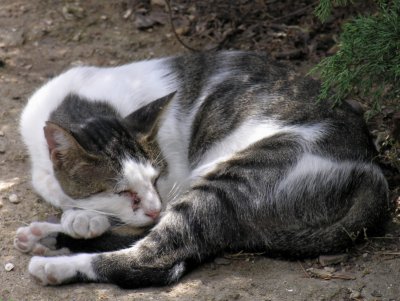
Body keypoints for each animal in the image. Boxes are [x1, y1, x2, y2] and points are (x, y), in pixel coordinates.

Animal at [14, 51, 388, 288]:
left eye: (156, 178)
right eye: (121, 190)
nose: (154, 207)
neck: (85, 103)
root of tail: (372, 171)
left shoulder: (175, 178)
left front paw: (83, 218)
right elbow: (54, 187)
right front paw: (82, 216)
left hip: (235, 178)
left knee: (152, 260)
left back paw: (53, 264)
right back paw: (46, 236)